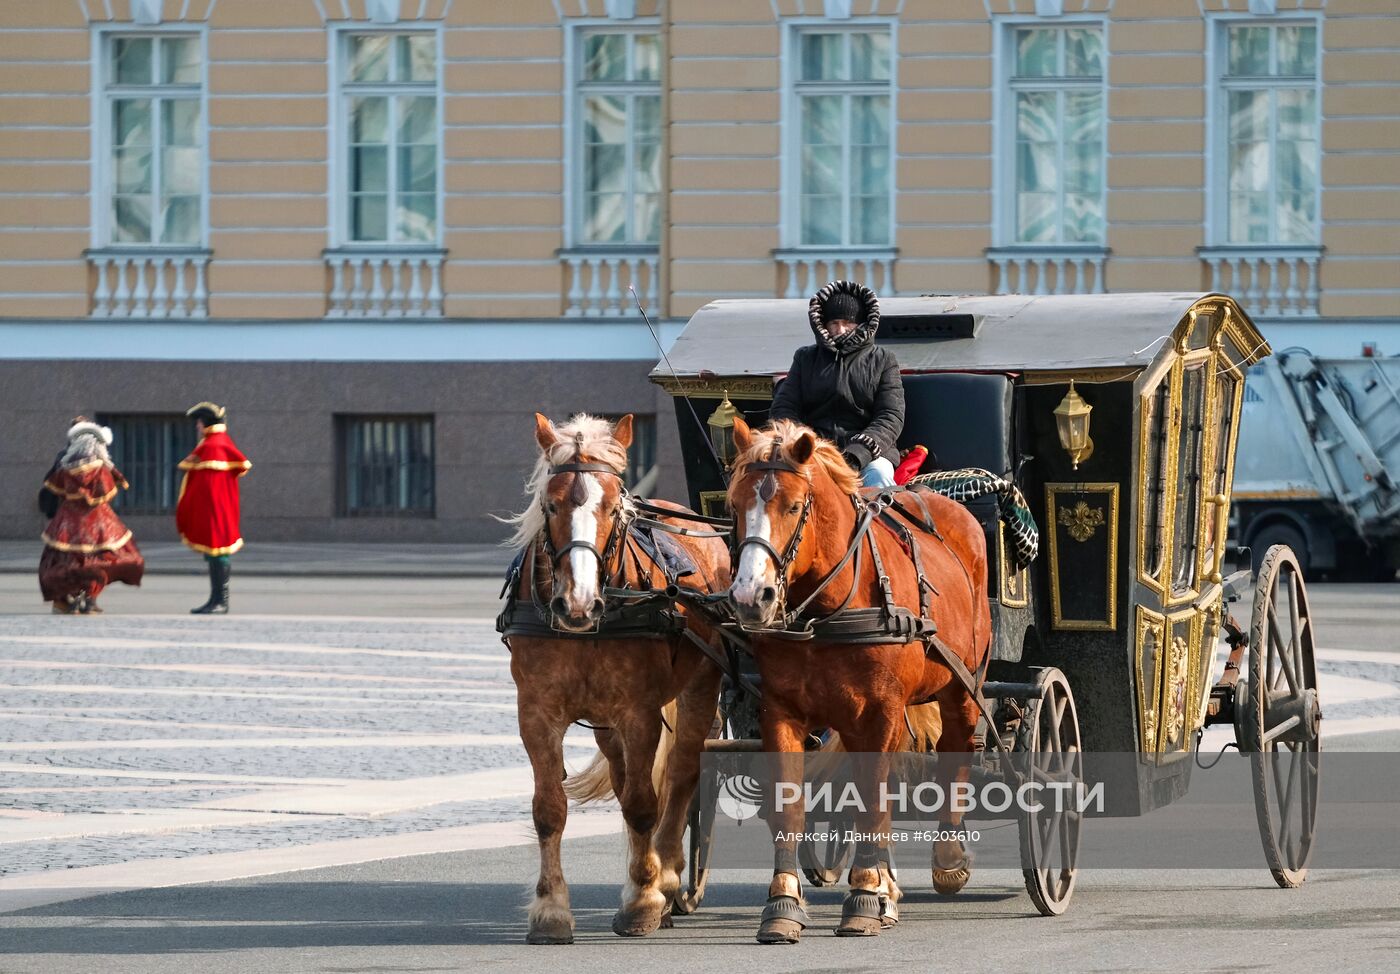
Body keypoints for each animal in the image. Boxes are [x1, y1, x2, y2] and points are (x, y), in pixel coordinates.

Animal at [498, 411, 728, 946]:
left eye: (610, 507)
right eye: (552, 503)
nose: (578, 603)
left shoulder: (639, 713)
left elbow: (645, 804)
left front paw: (643, 899)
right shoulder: (536, 714)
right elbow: (549, 810)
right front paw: (550, 910)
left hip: (700, 688)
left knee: (681, 775)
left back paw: (667, 877)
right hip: (605, 725)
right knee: (628, 784)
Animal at [722, 417, 996, 946]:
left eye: (792, 506)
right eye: (734, 506)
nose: (750, 596)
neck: (827, 611)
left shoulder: (881, 710)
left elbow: (872, 797)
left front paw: (866, 895)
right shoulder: (781, 710)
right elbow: (791, 804)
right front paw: (783, 904)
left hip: (963, 684)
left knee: (956, 749)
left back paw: (947, 858)